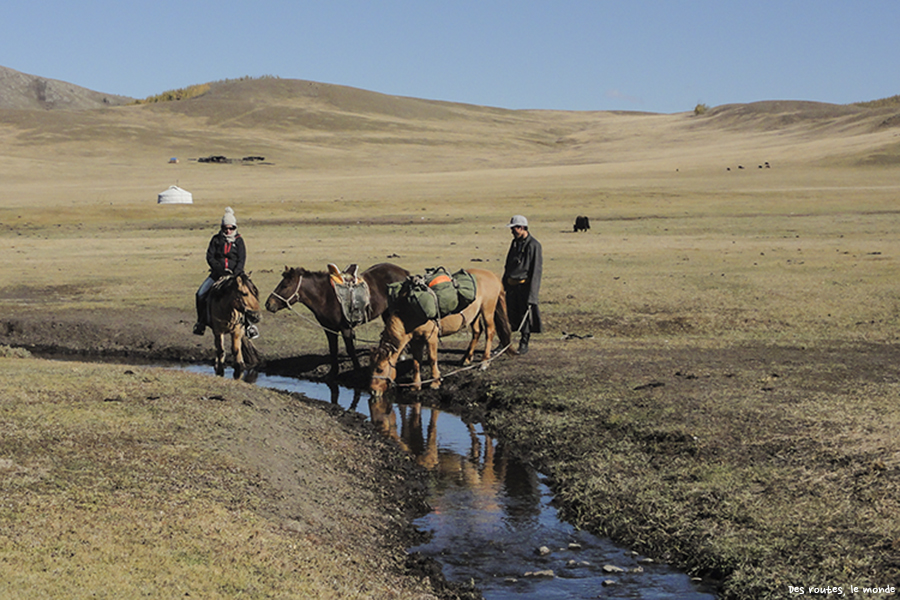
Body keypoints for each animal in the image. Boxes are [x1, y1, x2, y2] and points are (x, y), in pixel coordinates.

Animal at [266, 262, 410, 378]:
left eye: (285, 285)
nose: (268, 304)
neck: (325, 296)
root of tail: (403, 272)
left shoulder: (345, 328)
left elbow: (350, 349)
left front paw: (357, 371)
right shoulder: (329, 329)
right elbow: (333, 349)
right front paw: (332, 373)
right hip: (386, 313)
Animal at [368, 270, 510, 396]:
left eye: (380, 369)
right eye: (371, 367)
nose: (373, 391)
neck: (408, 313)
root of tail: (492, 275)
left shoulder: (431, 337)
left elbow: (432, 359)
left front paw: (435, 382)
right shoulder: (415, 341)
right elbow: (416, 362)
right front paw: (416, 386)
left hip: (487, 310)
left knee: (489, 332)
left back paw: (484, 362)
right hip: (474, 315)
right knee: (477, 332)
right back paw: (466, 359)